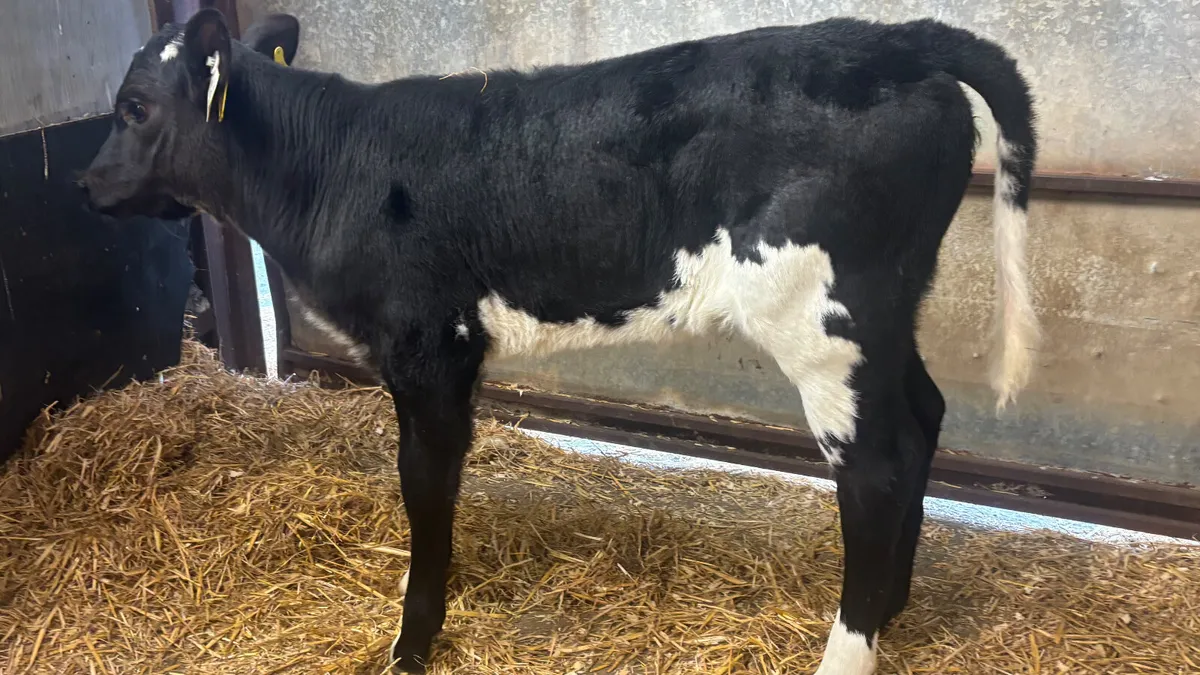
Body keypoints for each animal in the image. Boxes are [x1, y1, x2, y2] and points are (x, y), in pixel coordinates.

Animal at [79, 8, 1039, 674]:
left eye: (134, 106)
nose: (87, 183)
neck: (331, 167)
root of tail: (894, 39)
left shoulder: (426, 349)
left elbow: (424, 487)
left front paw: (411, 641)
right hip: (884, 313)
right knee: (920, 420)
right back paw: (895, 606)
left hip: (821, 315)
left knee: (872, 469)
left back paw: (848, 648)